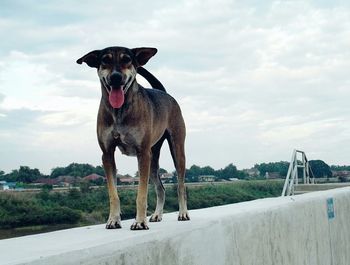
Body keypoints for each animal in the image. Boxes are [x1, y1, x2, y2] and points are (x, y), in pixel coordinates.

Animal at [78, 46, 190, 228]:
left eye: (127, 59)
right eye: (105, 60)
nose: (116, 77)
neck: (119, 110)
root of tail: (164, 93)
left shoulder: (142, 152)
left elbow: (141, 194)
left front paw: (139, 222)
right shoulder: (107, 154)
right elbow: (113, 193)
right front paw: (113, 220)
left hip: (177, 149)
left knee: (181, 185)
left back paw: (183, 213)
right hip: (153, 159)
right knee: (161, 188)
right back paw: (157, 214)